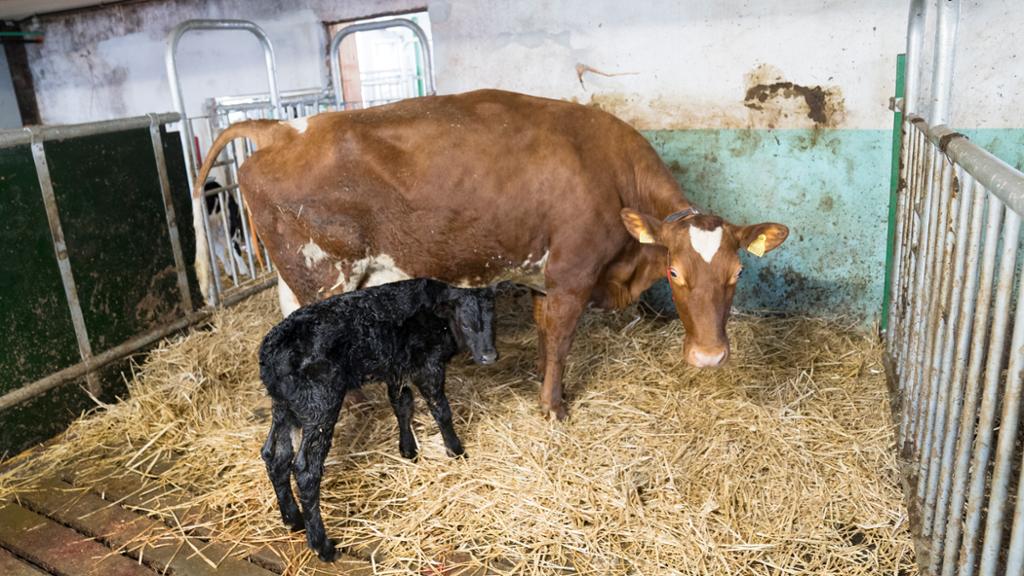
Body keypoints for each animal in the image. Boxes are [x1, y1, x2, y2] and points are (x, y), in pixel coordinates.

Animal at [193, 90, 790, 422]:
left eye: (738, 272)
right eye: (674, 270)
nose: (710, 357)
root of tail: (281, 128)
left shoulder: (543, 279)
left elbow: (544, 332)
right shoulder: (572, 273)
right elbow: (560, 342)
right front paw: (553, 407)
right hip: (323, 277)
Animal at [256, 276, 495, 557]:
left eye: (493, 321)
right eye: (466, 322)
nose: (489, 356)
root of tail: (271, 354)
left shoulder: (396, 367)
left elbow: (402, 404)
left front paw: (408, 450)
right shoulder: (429, 364)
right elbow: (440, 409)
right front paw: (456, 450)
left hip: (285, 406)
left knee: (275, 455)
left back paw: (293, 520)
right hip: (319, 404)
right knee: (305, 469)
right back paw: (322, 546)